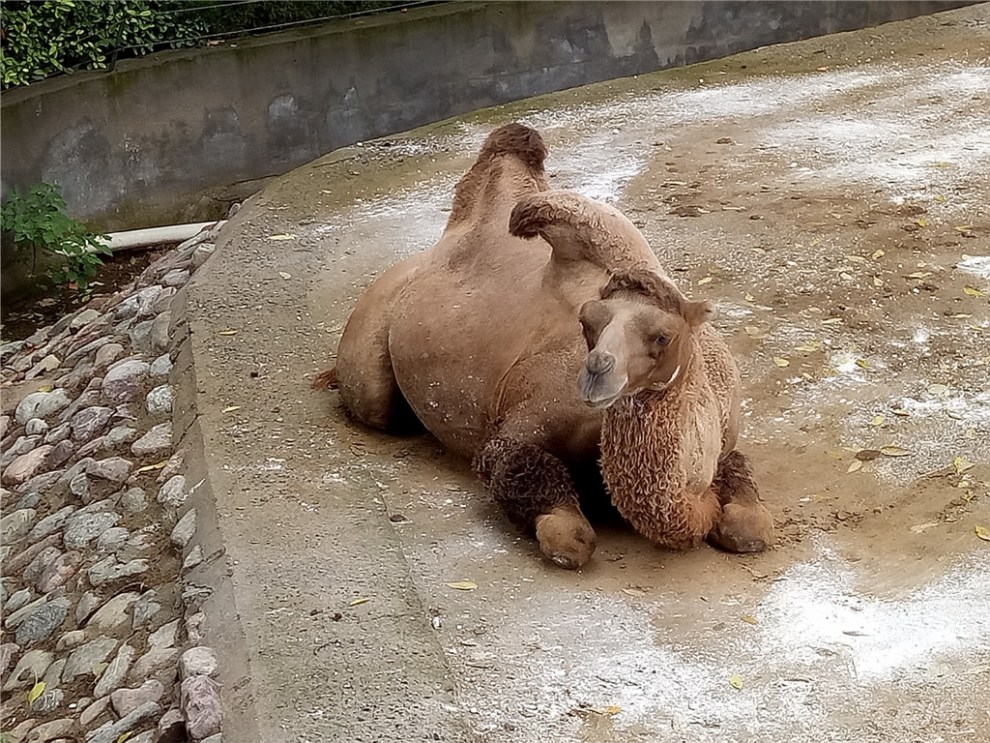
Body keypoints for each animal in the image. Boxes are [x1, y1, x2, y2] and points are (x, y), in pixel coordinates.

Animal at [326, 123, 776, 568]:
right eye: (587, 322)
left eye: (662, 336)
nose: (597, 372)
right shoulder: (524, 424)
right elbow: (562, 526)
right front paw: (564, 532)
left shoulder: (725, 440)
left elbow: (749, 521)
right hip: (371, 350)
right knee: (374, 402)